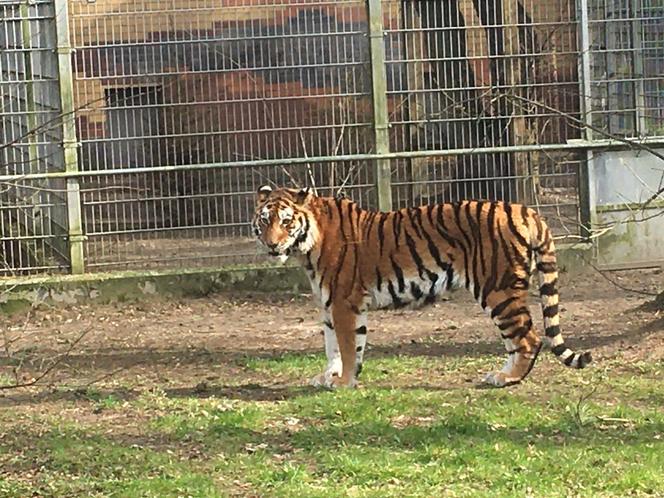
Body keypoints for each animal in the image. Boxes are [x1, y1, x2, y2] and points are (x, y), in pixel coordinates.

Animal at [253, 186, 592, 390]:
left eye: (286, 222)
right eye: (265, 220)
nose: (272, 245)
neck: (307, 248)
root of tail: (526, 210)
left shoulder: (343, 302)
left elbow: (348, 346)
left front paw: (344, 381)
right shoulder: (328, 306)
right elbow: (333, 345)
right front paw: (329, 376)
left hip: (498, 289)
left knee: (529, 338)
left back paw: (508, 378)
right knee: (517, 340)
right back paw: (498, 374)